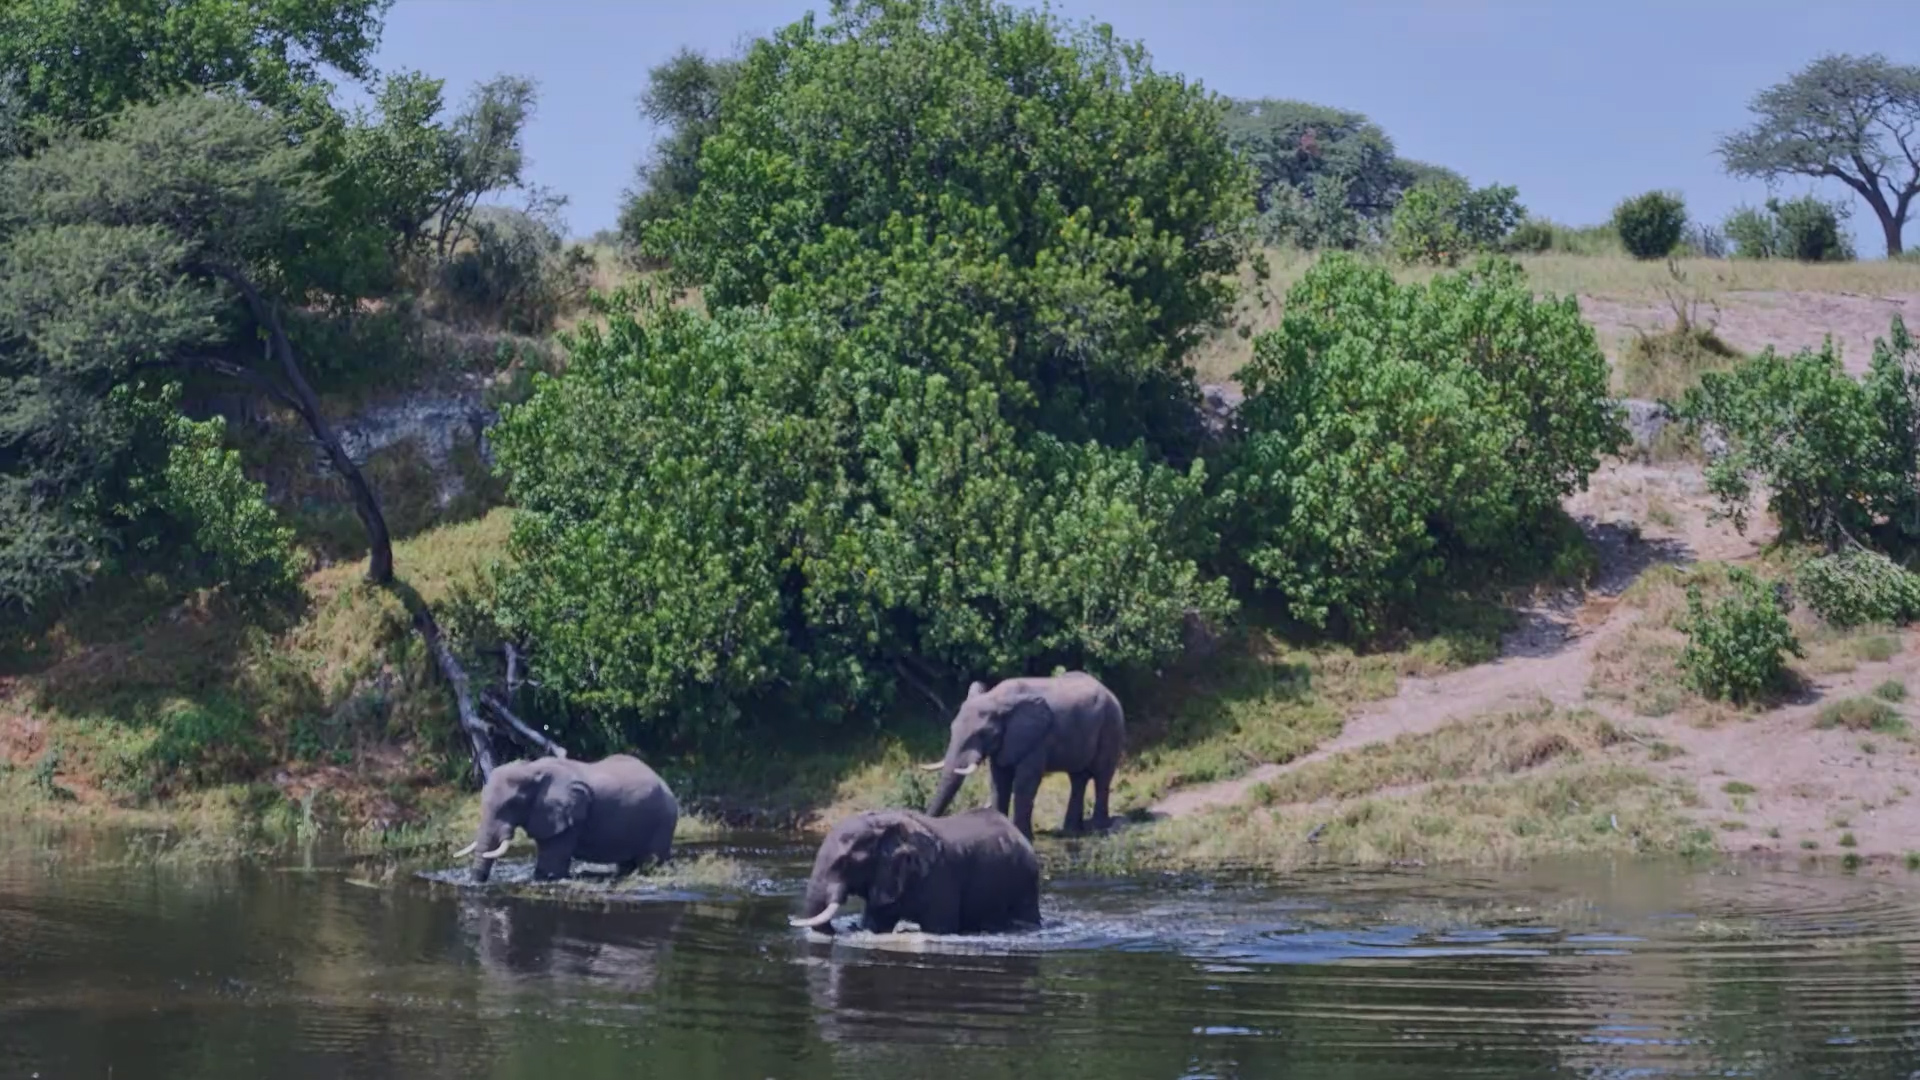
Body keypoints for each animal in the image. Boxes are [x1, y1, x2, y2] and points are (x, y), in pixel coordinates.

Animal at [454, 753, 678, 883]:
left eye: (513, 804)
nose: (475, 883)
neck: (532, 769)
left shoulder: (569, 819)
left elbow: (550, 868)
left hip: (662, 822)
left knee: (650, 862)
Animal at [788, 808, 1041, 936]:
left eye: (844, 862)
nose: (839, 931)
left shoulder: (941, 877)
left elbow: (939, 928)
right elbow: (876, 924)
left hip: (1026, 880)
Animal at [922, 671, 1124, 840]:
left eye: (983, 734)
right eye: (952, 729)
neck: (998, 698)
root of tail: (1110, 691)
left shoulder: (1037, 739)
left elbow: (1025, 782)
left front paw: (1024, 836)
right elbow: (999, 781)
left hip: (1111, 724)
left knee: (1101, 776)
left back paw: (1098, 828)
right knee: (1078, 778)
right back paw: (1070, 831)